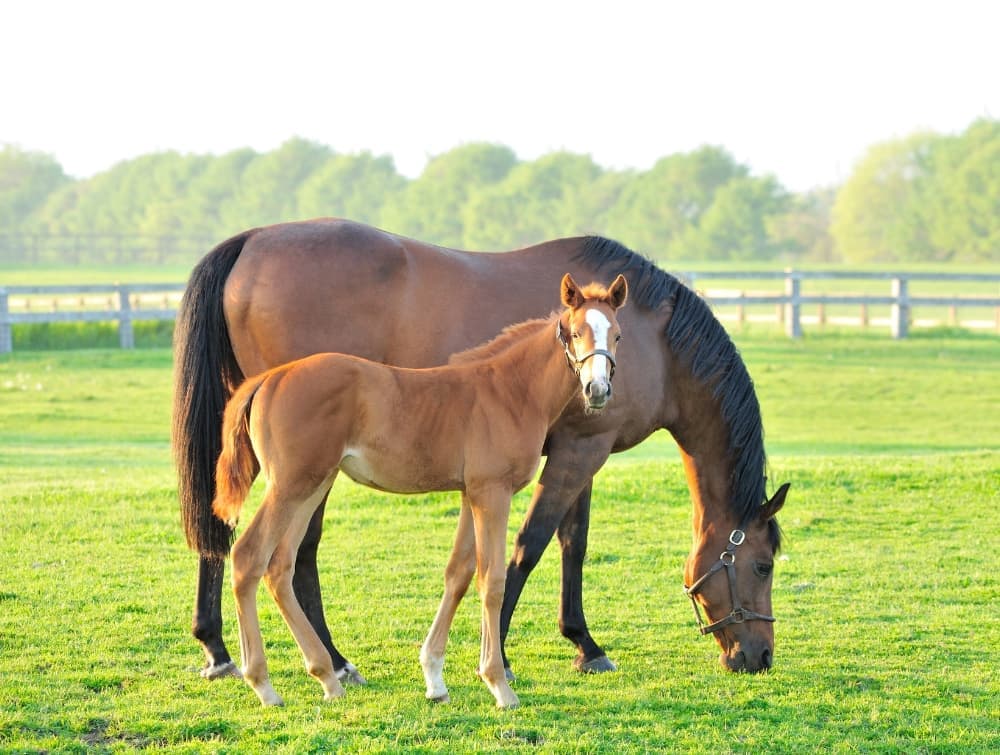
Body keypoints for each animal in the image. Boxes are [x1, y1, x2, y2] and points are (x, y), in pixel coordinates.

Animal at [172, 219, 788, 684]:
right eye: (762, 564)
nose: (759, 657)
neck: (653, 339)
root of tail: (253, 240)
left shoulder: (585, 447)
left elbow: (573, 544)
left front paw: (583, 644)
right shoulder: (579, 450)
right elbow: (528, 545)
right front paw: (503, 656)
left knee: (230, 530)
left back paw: (219, 648)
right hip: (308, 470)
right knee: (295, 550)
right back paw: (333, 662)